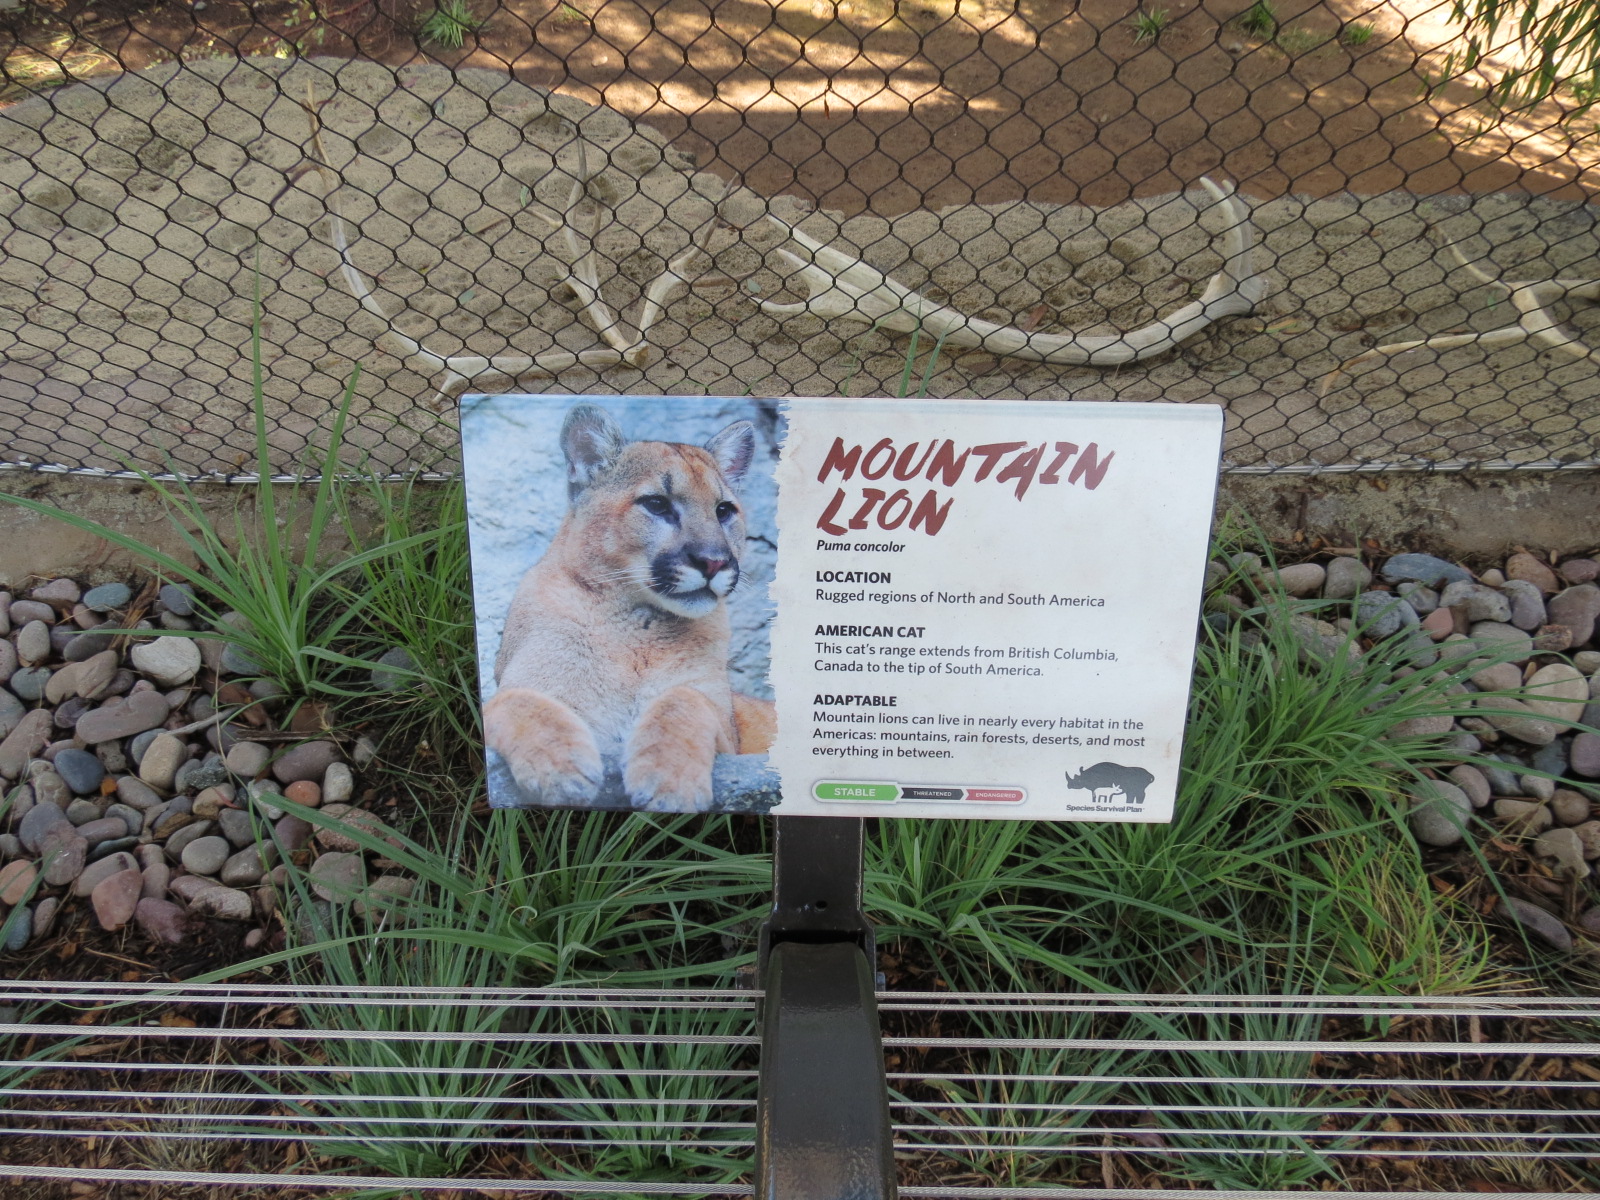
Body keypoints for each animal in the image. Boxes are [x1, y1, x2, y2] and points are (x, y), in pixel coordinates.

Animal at [484, 403, 777, 813]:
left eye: (724, 510)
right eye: (656, 504)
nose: (714, 561)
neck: (637, 623)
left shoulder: (723, 722)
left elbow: (684, 700)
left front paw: (668, 779)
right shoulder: (520, 684)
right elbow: (516, 702)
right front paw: (561, 767)